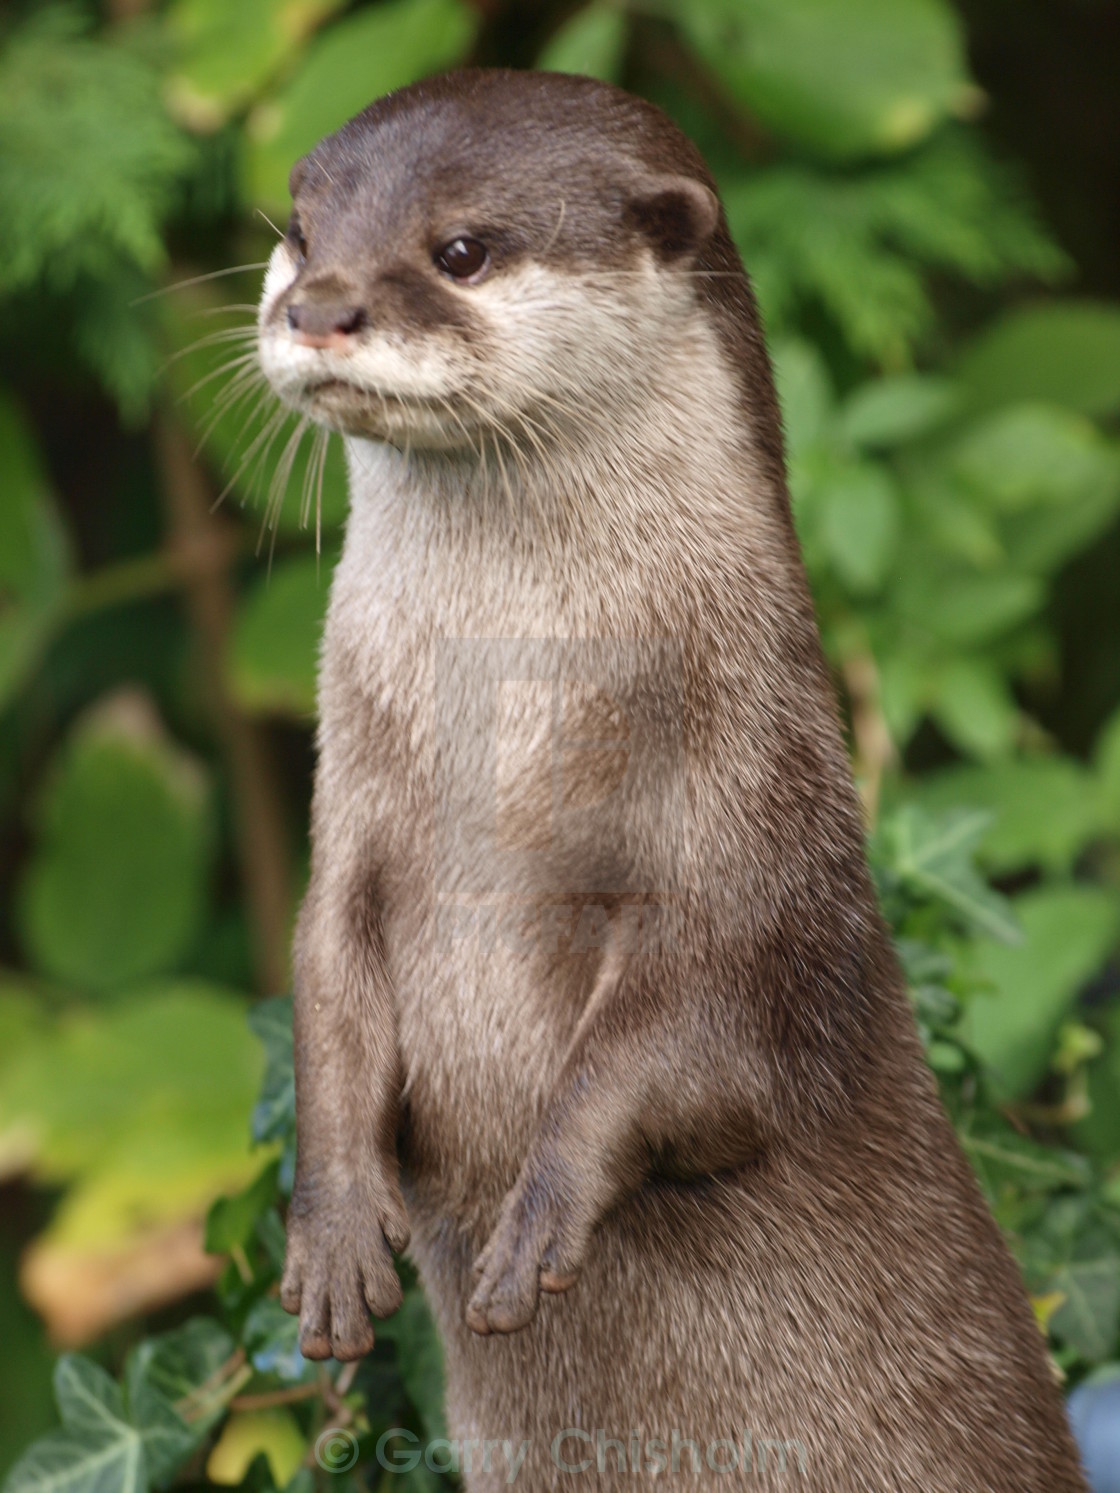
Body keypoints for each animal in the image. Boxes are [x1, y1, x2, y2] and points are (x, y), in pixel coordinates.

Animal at [261, 64, 1087, 1487]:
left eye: (461, 249)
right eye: (301, 233)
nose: (318, 306)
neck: (510, 721)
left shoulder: (753, 818)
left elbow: (693, 1043)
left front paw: (540, 1210)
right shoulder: (349, 824)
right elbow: (322, 975)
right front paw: (331, 1225)